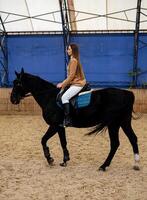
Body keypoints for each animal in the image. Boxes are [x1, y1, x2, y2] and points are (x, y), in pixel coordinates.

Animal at [10, 69, 140, 170]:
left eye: (18, 84)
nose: (12, 99)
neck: (49, 97)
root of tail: (128, 94)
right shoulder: (60, 127)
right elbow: (63, 142)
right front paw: (64, 160)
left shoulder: (55, 125)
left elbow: (43, 140)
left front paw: (50, 159)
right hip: (123, 122)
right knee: (132, 139)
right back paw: (136, 164)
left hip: (113, 124)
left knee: (115, 143)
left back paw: (103, 166)